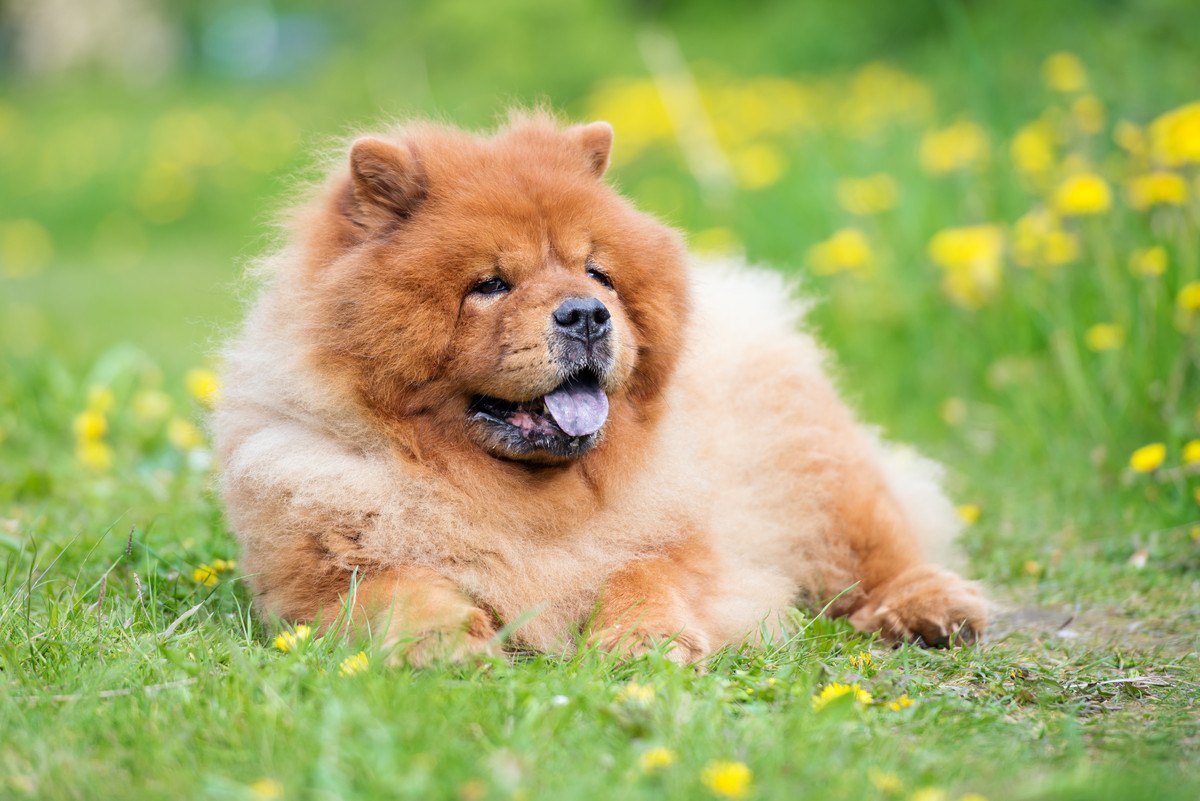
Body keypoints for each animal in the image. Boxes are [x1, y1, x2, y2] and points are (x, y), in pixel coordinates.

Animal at [213, 112, 984, 661]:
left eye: (597, 273)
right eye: (490, 285)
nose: (586, 313)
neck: (524, 500)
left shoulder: (691, 550)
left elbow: (642, 572)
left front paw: (645, 640)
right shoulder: (318, 575)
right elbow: (394, 586)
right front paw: (444, 641)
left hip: (820, 478)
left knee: (882, 552)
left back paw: (934, 611)